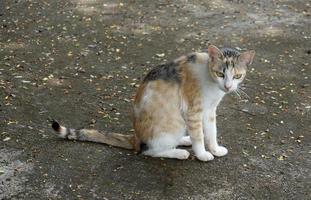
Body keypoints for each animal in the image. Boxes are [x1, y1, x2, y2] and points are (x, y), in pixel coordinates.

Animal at [51, 45, 256, 161]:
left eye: (237, 76)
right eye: (220, 73)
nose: (228, 86)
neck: (211, 81)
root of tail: (135, 137)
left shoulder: (209, 111)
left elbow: (212, 132)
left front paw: (214, 148)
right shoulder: (194, 112)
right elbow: (199, 136)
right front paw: (203, 154)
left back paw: (183, 140)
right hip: (173, 123)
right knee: (149, 151)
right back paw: (178, 153)